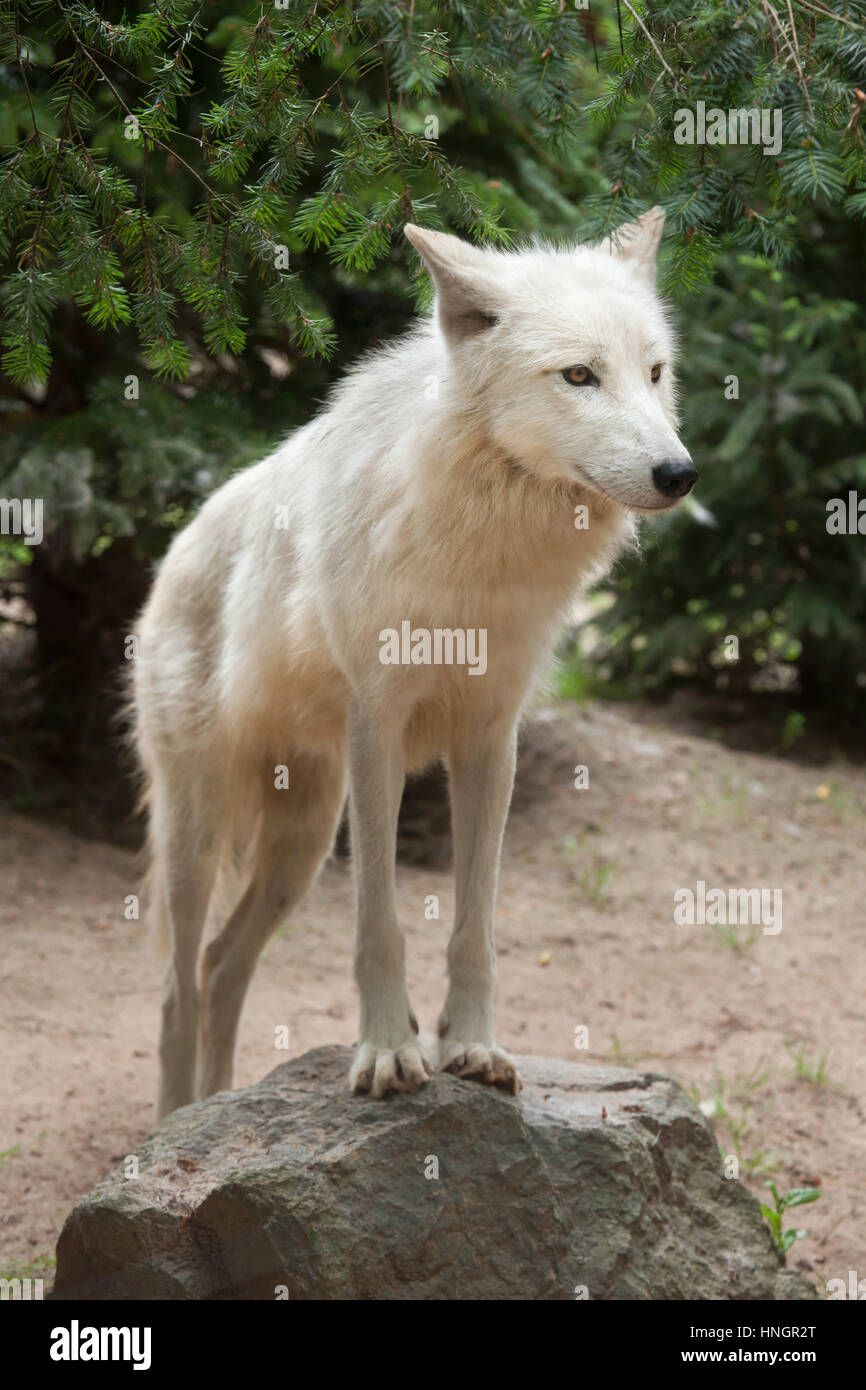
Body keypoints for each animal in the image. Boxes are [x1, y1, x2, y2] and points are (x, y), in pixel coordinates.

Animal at [132, 206, 696, 1118]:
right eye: (579, 376)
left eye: (654, 373)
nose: (680, 473)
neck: (488, 545)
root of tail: (174, 549)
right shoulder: (379, 732)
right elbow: (381, 923)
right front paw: (390, 1054)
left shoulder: (492, 739)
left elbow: (475, 924)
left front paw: (470, 1047)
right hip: (202, 831)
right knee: (178, 988)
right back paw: (175, 1122)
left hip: (299, 844)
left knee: (223, 965)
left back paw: (218, 1103)